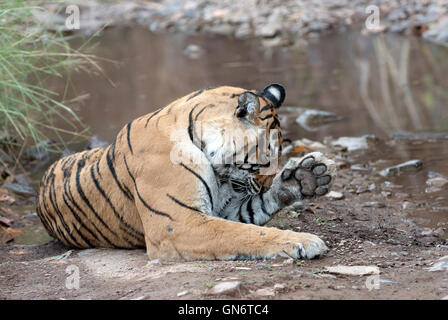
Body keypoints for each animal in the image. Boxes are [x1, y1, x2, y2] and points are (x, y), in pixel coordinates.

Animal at [36, 84, 336, 262]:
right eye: (267, 158)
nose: (262, 186)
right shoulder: (177, 223)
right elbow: (247, 234)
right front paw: (304, 241)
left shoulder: (224, 210)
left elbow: (253, 213)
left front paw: (307, 176)